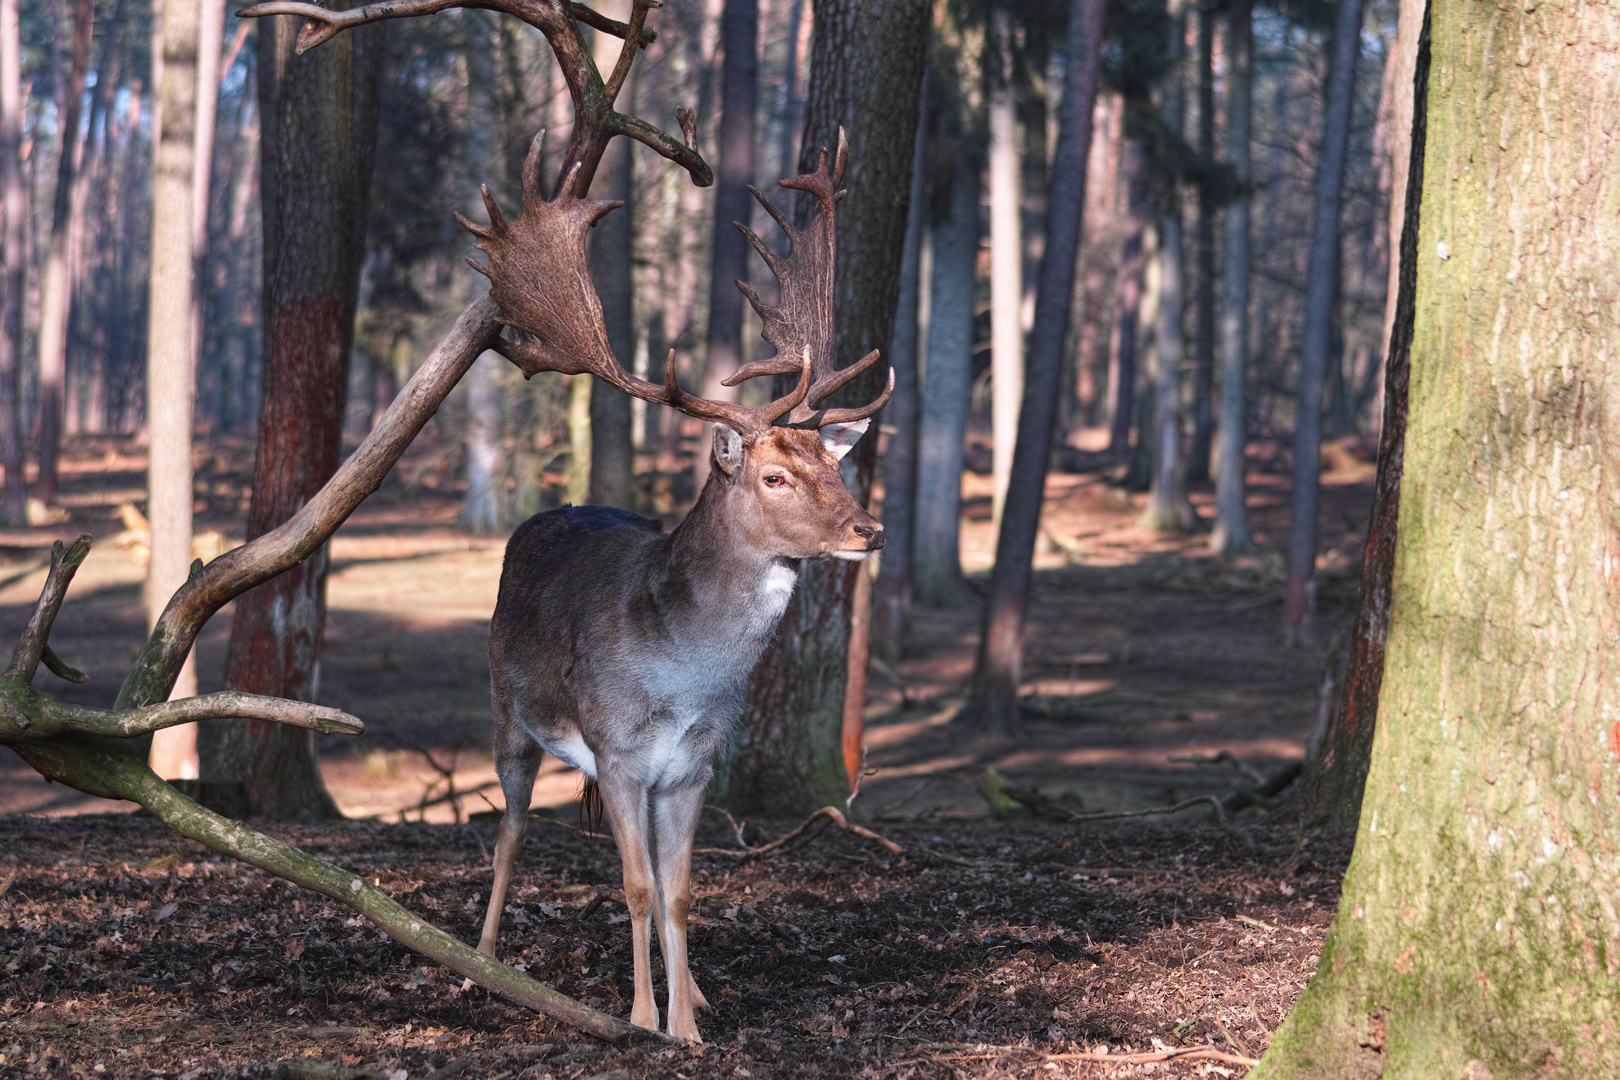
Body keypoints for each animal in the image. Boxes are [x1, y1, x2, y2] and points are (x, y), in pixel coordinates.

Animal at [463, 131, 894, 1042]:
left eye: (833, 462)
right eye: (773, 475)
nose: (868, 531)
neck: (684, 677)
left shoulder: (695, 765)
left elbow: (681, 891)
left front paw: (688, 1021)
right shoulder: (619, 752)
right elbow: (632, 887)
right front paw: (638, 1019)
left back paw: (687, 996)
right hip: (506, 706)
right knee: (511, 828)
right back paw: (482, 959)